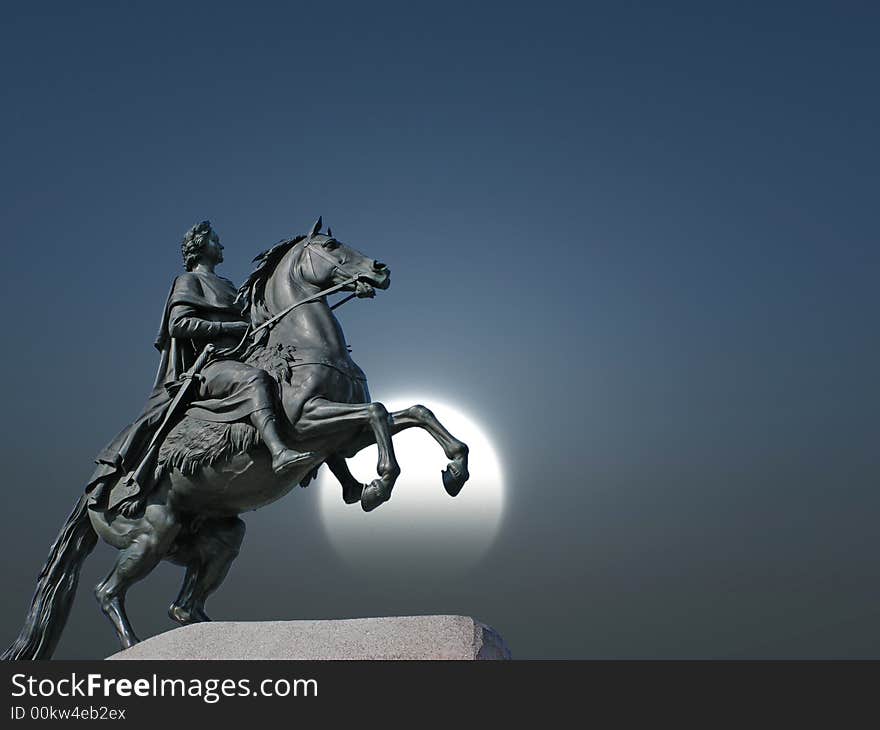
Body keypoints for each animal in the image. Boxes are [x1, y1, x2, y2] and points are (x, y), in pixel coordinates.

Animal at [3, 219, 470, 656]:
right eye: (331, 244)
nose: (380, 270)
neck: (302, 345)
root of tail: (93, 492)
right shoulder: (307, 423)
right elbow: (378, 414)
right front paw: (378, 485)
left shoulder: (344, 437)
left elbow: (414, 412)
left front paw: (453, 471)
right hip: (151, 535)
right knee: (108, 592)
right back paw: (132, 643)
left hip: (215, 538)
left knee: (182, 607)